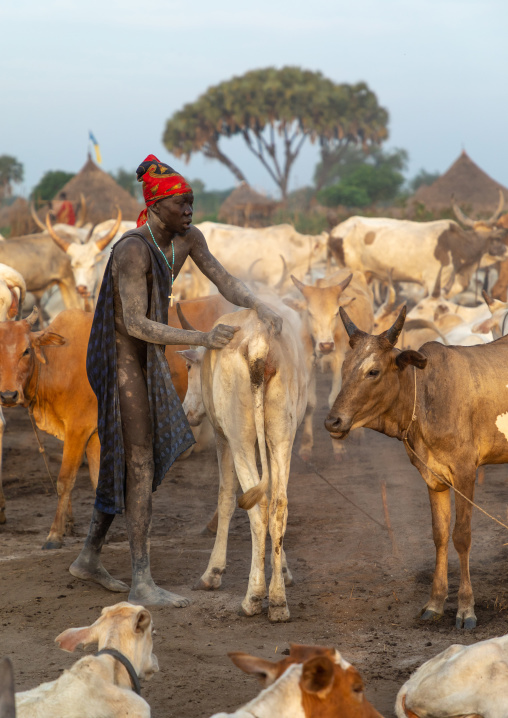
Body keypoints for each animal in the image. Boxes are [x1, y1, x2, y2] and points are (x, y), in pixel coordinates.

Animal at [179, 296, 307, 621]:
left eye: (188, 366)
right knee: (278, 505)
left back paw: (254, 597)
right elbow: (273, 495)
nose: (188, 412)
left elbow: (225, 497)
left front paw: (212, 572)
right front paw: (284, 570)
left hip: (239, 441)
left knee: (257, 508)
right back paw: (278, 601)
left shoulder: (222, 438)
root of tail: (259, 343)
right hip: (281, 437)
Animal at [290, 269, 374, 460]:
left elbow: (333, 399)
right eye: (310, 313)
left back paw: (358, 434)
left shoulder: (338, 363)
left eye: (336, 313)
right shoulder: (308, 363)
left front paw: (338, 447)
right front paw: (306, 446)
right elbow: (310, 403)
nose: (326, 345)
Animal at [324, 305, 508, 629]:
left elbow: (462, 536)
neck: (423, 397)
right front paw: (435, 603)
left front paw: (466, 608)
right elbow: (440, 535)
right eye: (344, 367)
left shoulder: (465, 473)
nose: (333, 421)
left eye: (373, 371)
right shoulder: (434, 477)